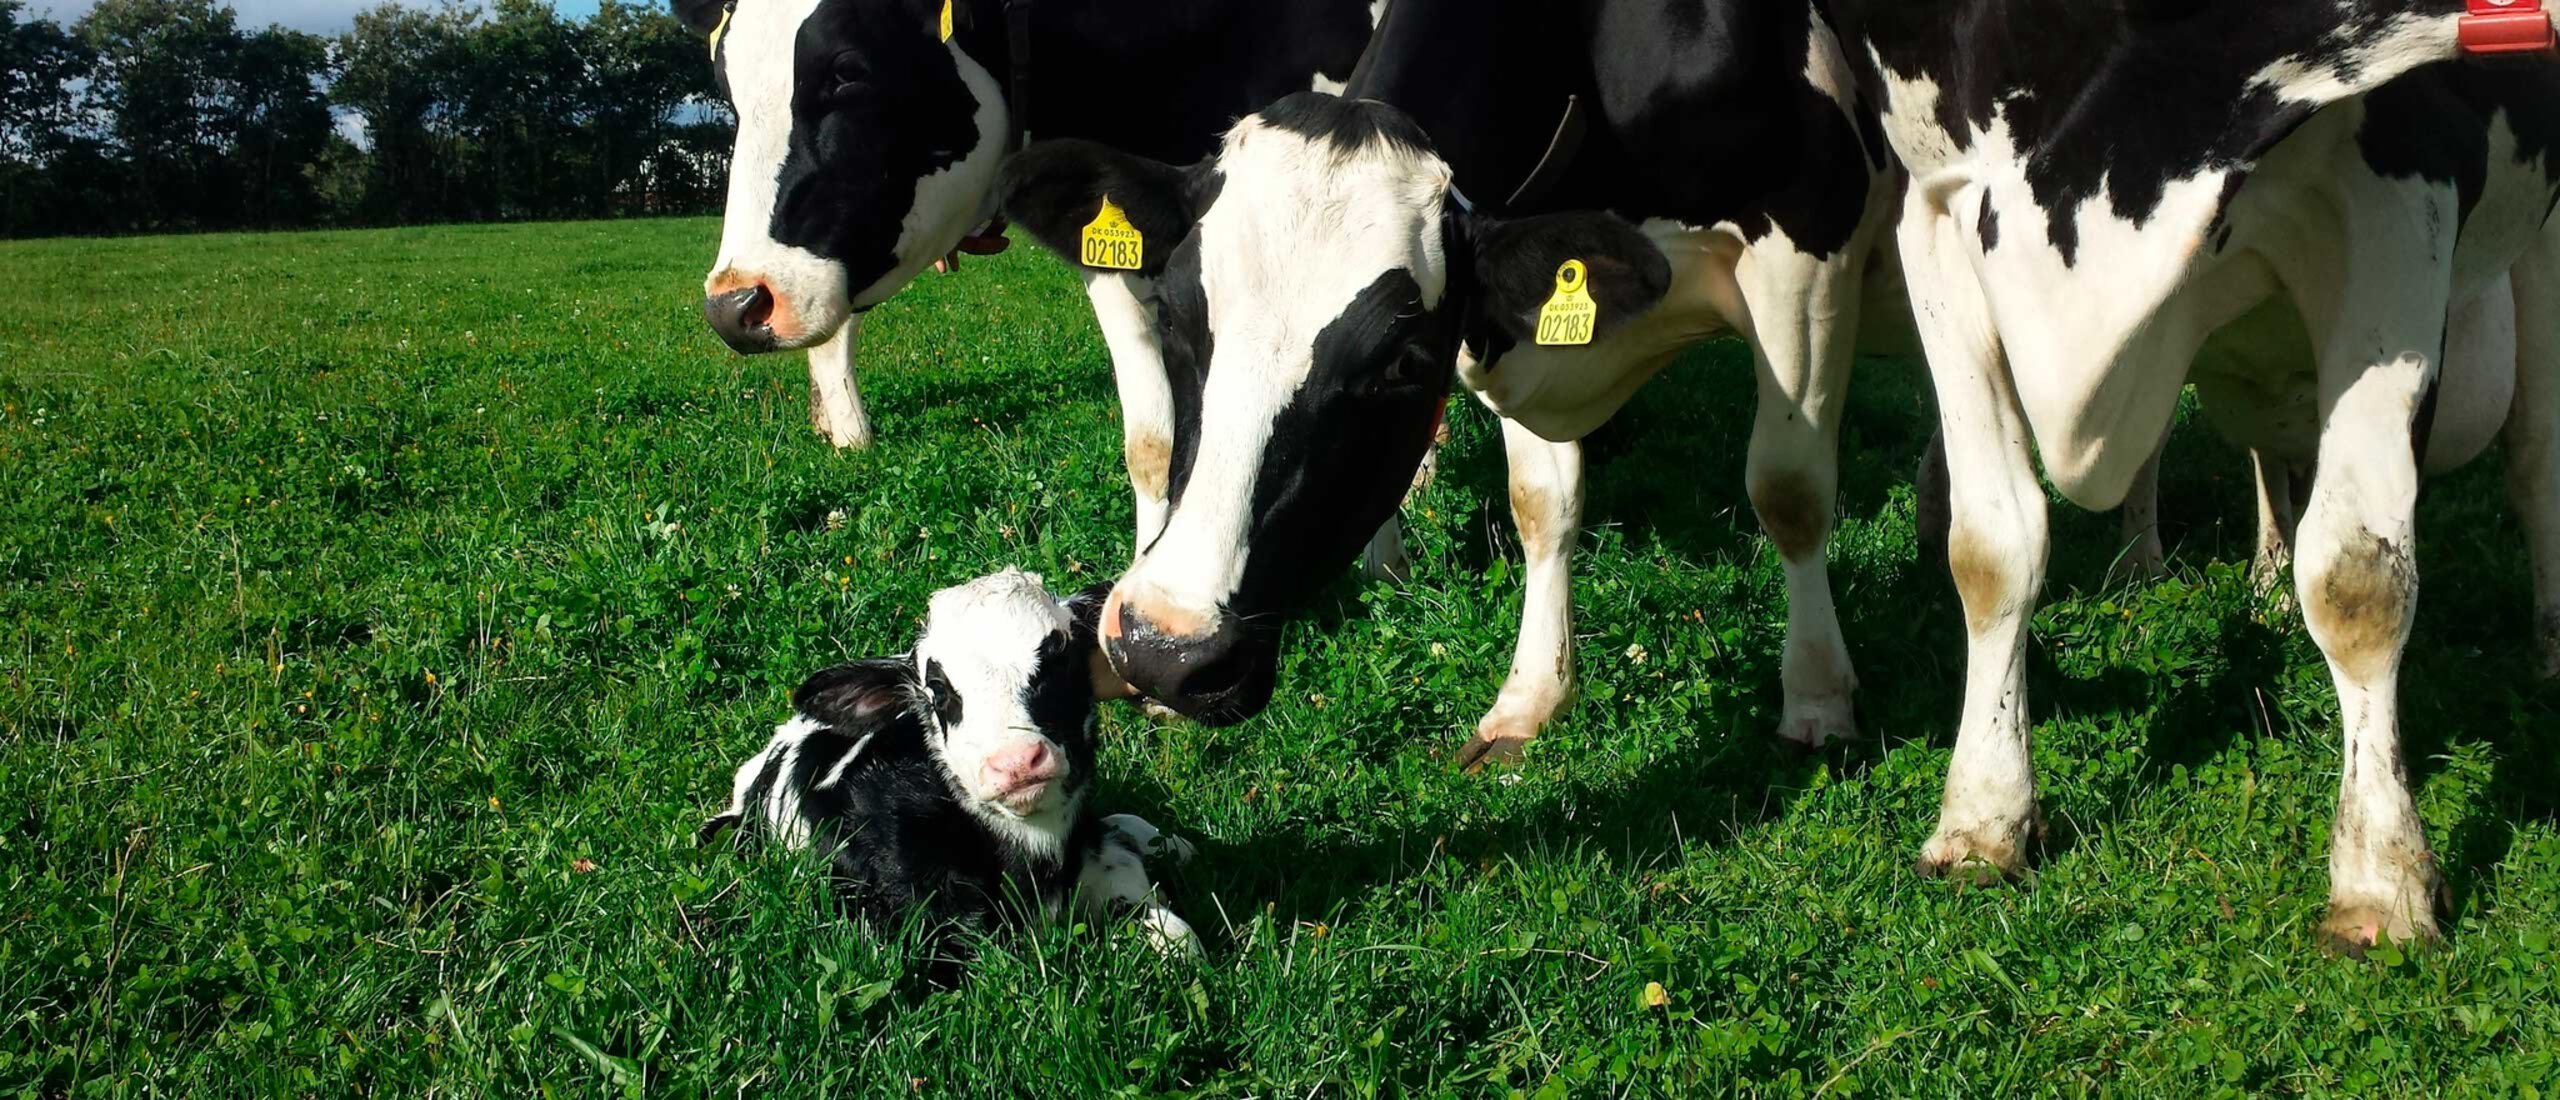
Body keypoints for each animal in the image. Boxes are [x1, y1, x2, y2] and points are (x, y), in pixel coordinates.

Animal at [998, 0, 1900, 773]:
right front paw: (1529, 701)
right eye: (1177, 318)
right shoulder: (1516, 329)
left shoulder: (1806, 252)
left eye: (1402, 360)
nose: (1164, 649)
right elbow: (1541, 503)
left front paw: (1817, 698)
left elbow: (1788, 491)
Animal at [1833, 0, 2560, 952]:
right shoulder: (1938, 206)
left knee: (2537, 460)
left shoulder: (2399, 192)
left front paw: (2381, 879)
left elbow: (2358, 582)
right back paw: (2265, 583)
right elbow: (1989, 549)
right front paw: (1983, 816)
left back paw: (2549, 655)